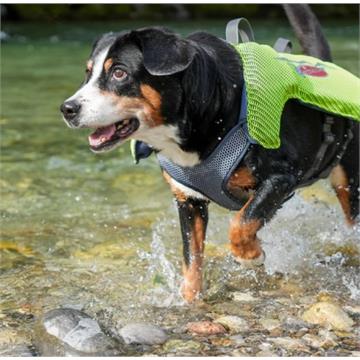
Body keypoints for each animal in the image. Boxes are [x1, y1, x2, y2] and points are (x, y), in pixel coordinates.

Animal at [60, 4, 358, 304]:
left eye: (119, 73)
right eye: (88, 73)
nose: (67, 108)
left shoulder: (282, 177)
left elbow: (241, 222)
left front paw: (250, 255)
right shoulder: (188, 200)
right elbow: (191, 259)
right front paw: (189, 300)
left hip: (348, 181)